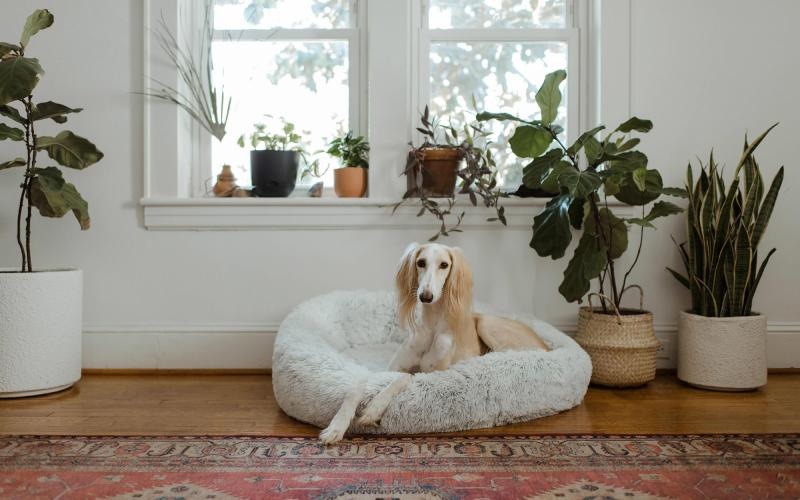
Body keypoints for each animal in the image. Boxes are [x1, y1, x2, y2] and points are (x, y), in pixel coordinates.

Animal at [318, 244, 552, 444]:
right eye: (421, 262)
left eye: (444, 265)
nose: (426, 296)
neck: (431, 327)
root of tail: (547, 346)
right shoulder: (389, 368)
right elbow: (358, 385)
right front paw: (336, 427)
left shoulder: (433, 375)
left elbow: (404, 378)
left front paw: (373, 409)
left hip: (488, 324)